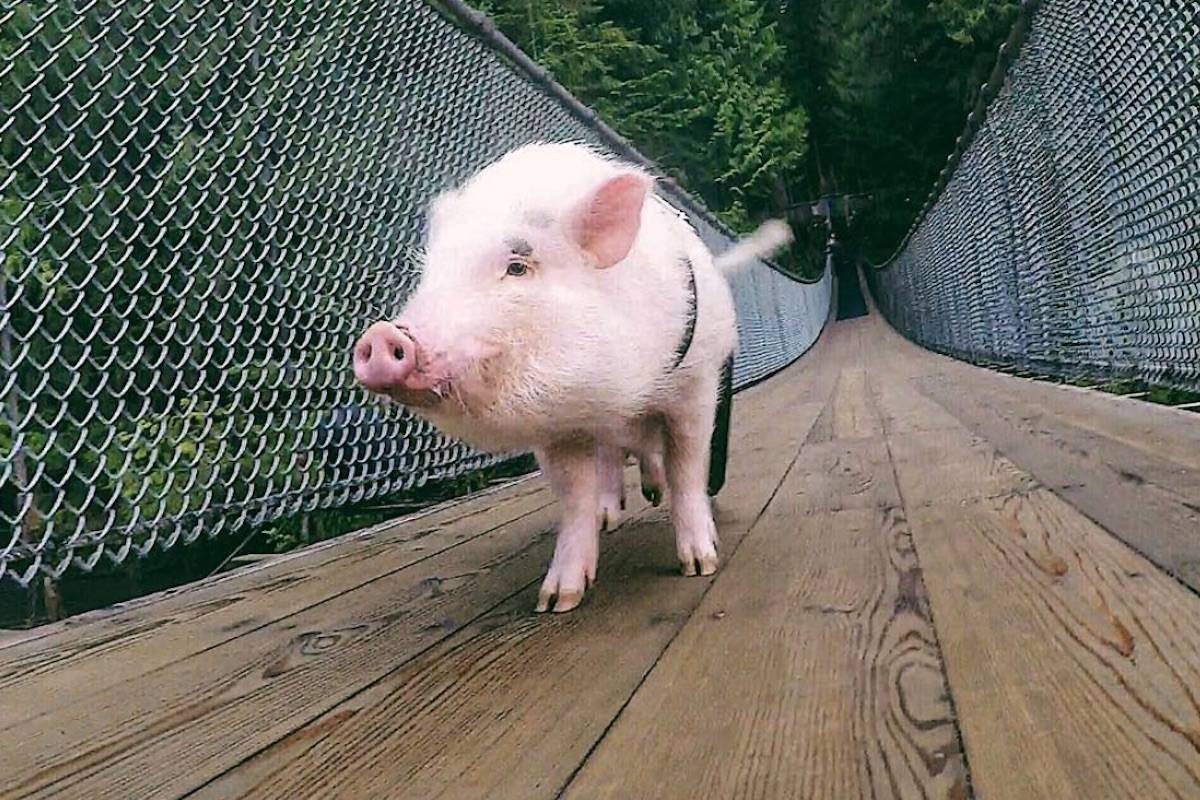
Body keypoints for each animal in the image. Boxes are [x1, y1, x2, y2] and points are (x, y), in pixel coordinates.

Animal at [353, 142, 792, 612]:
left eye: (518, 267)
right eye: (430, 273)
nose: (380, 337)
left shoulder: (696, 385)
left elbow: (688, 465)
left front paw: (699, 565)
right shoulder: (556, 426)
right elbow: (575, 494)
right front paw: (557, 600)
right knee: (614, 458)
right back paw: (612, 515)